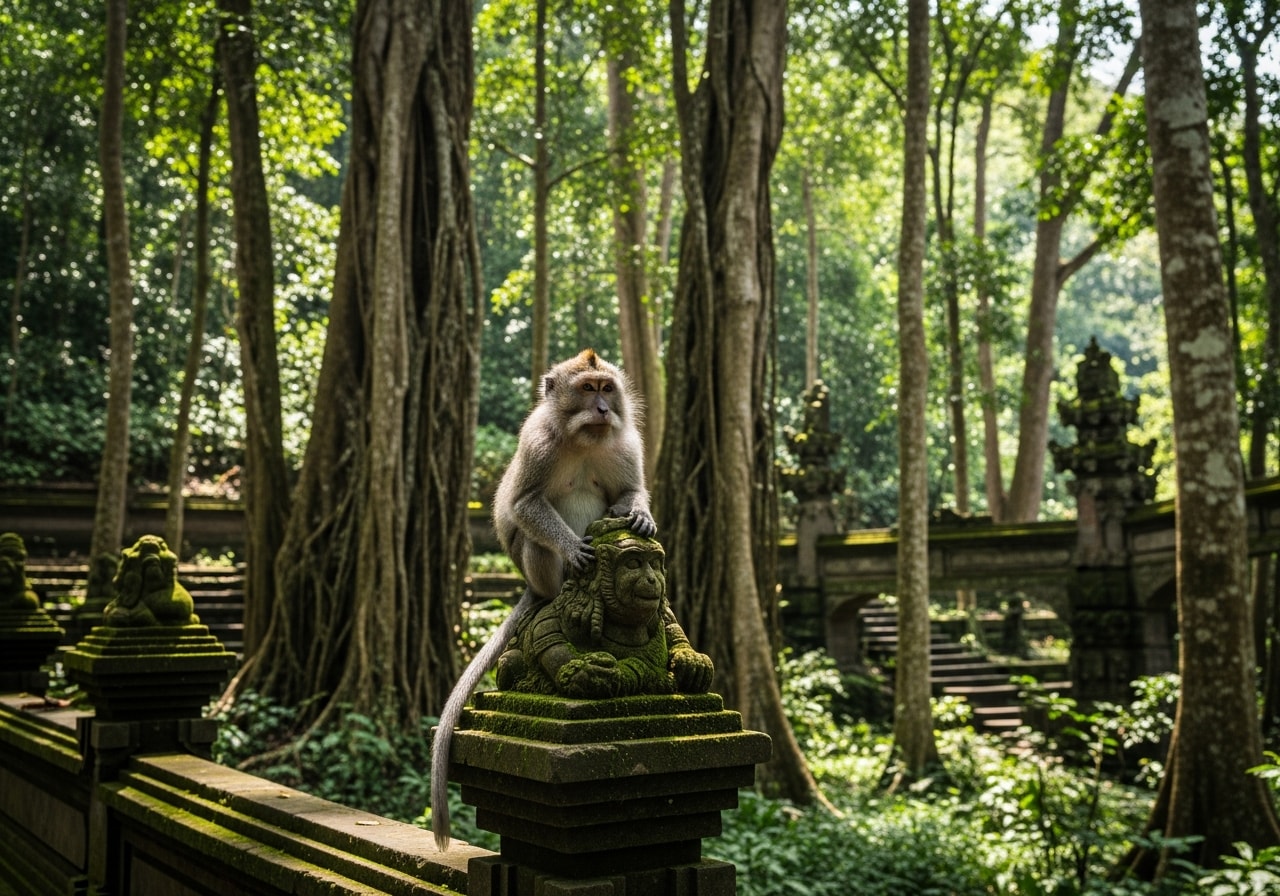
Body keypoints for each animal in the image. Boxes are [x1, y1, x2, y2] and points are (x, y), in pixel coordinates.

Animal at [430, 348, 655, 850]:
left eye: (606, 388)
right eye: (587, 390)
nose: (603, 410)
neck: (585, 440)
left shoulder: (626, 445)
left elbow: (628, 493)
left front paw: (640, 516)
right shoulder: (538, 445)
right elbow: (524, 504)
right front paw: (573, 549)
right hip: (535, 569)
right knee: (535, 540)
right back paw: (561, 590)